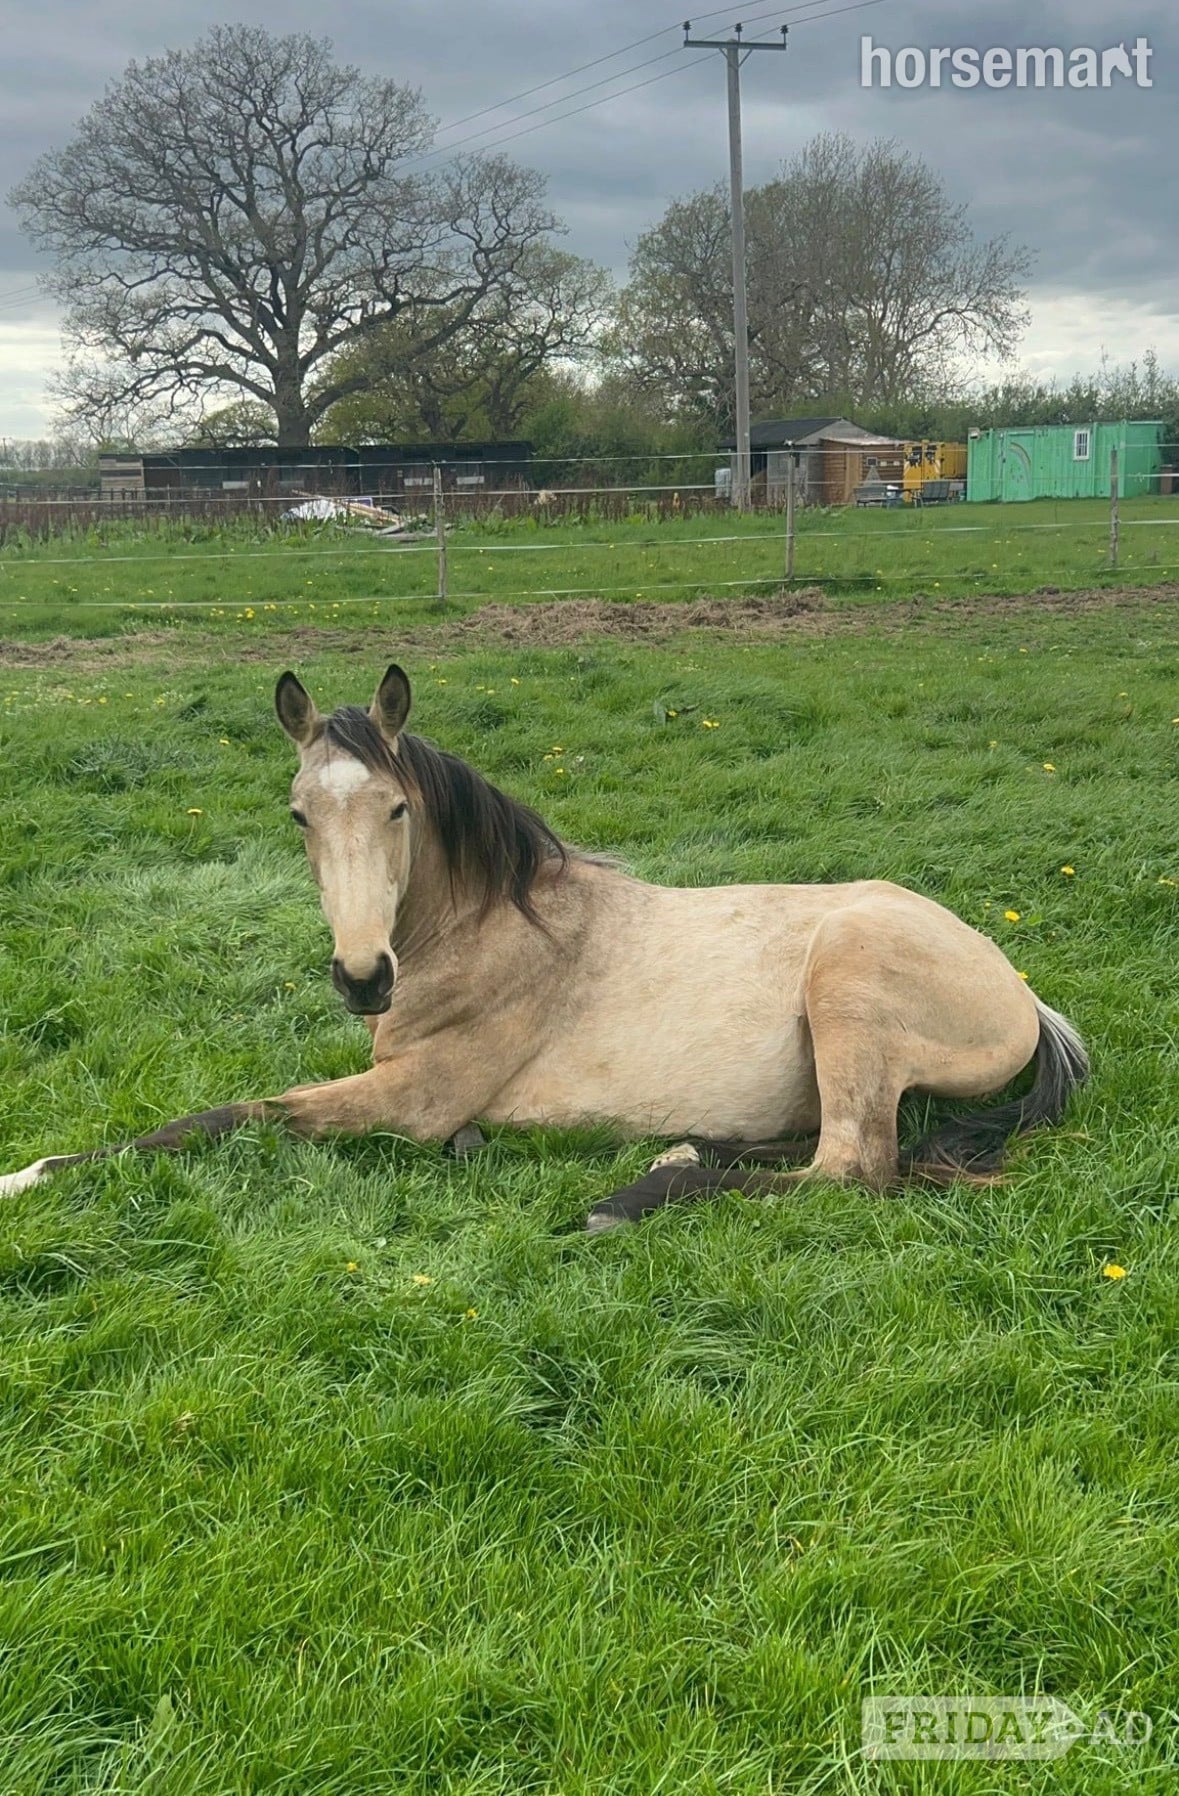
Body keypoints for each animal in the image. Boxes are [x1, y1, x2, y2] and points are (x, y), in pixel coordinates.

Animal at [0, 664, 1089, 1230]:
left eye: (397, 808)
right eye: (299, 814)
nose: (362, 978)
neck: (489, 935)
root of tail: (1021, 993)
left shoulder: (411, 1098)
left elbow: (223, 1116)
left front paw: (28, 1174)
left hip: (850, 988)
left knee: (852, 1168)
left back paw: (634, 1192)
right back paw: (690, 1144)